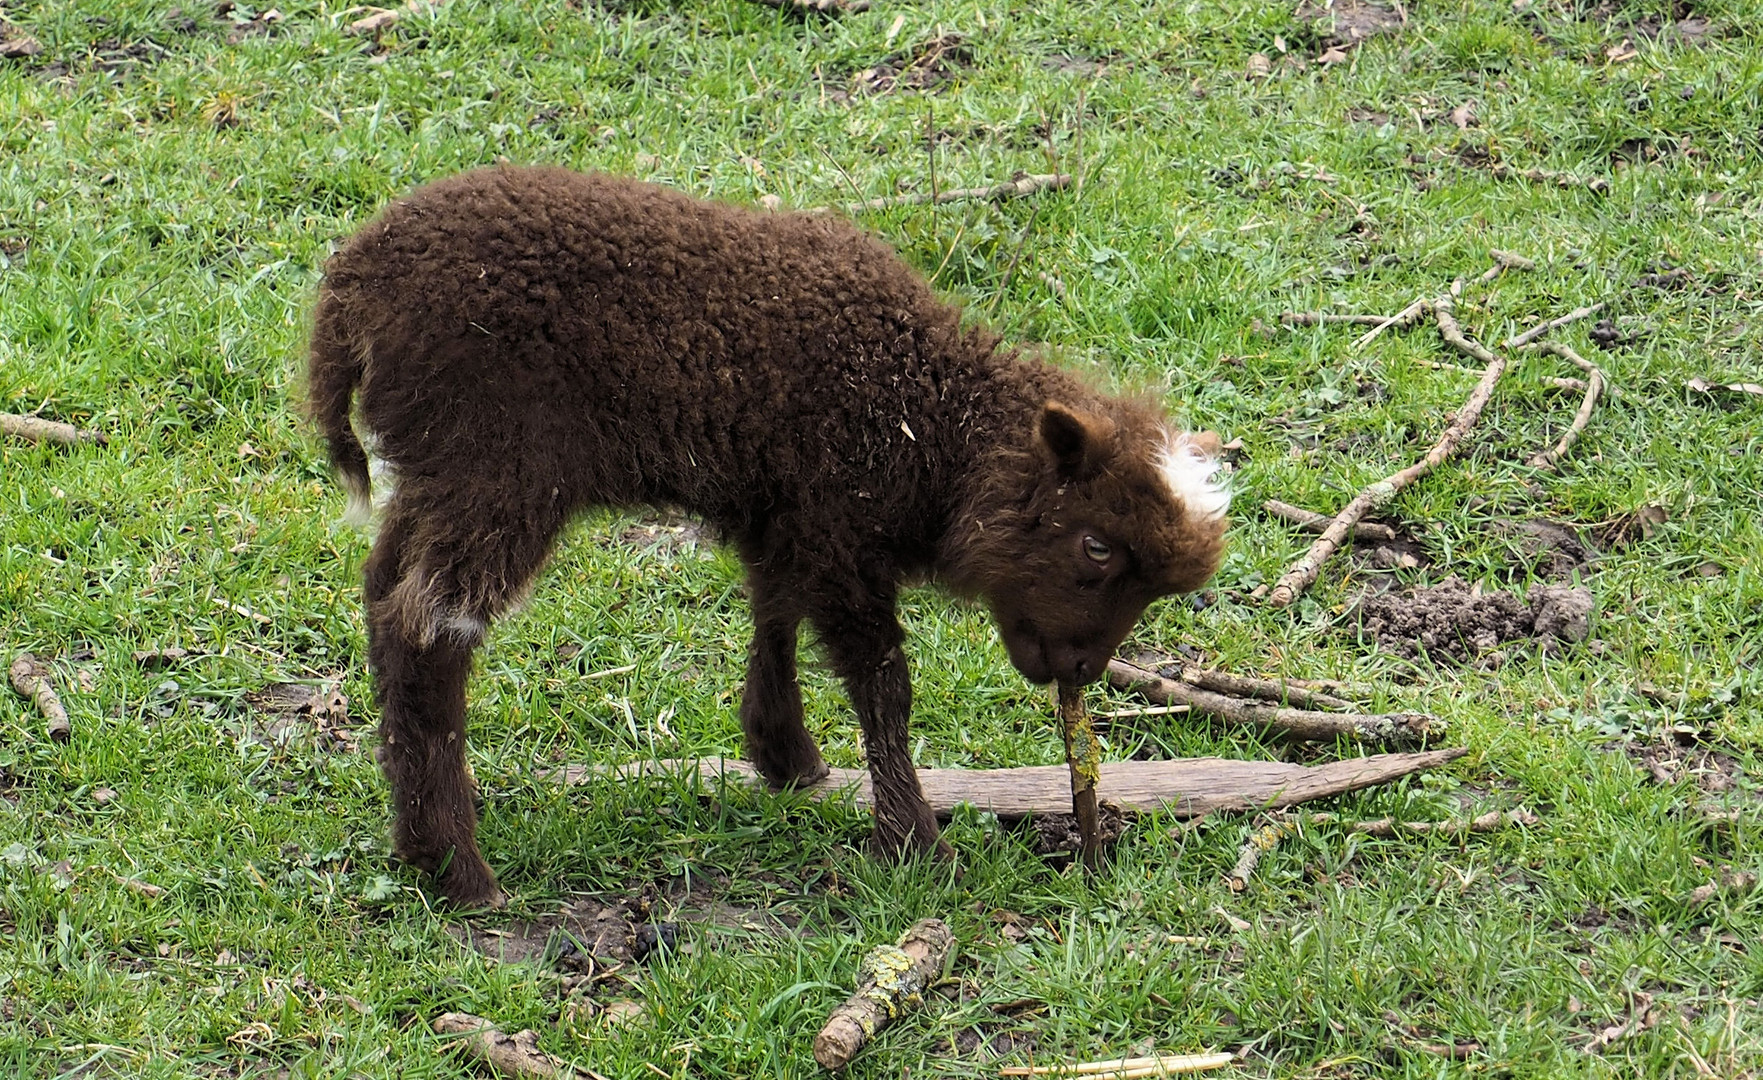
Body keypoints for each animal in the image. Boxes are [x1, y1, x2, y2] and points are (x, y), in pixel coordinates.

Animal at [306, 166, 1227, 909]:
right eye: (1096, 547)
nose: (1080, 670)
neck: (932, 424)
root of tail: (349, 294)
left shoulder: (783, 515)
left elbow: (774, 616)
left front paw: (786, 755)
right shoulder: (837, 526)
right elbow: (883, 686)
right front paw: (914, 843)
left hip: (435, 472)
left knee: (381, 598)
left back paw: (413, 838)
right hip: (500, 470)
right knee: (426, 631)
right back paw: (459, 871)